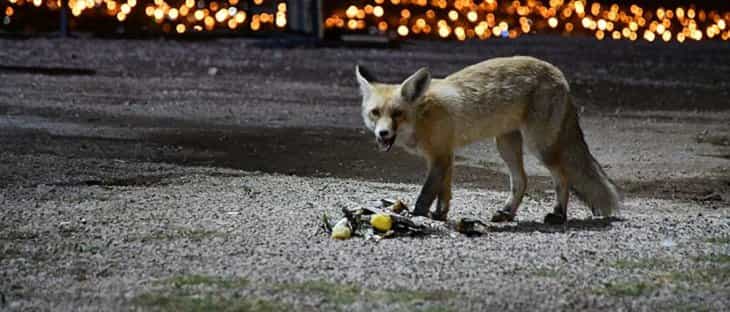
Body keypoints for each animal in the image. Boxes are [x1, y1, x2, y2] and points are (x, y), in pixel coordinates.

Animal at [356, 54, 616, 223]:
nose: (382, 133)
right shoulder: (445, 155)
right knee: (521, 180)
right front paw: (440, 215)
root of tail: (559, 74)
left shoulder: (440, 156)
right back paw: (507, 213)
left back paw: (558, 215)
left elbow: (427, 193)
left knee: (562, 177)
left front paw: (416, 215)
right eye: (375, 113)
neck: (423, 116)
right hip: (506, 144)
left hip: (539, 145)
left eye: (397, 114)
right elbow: (444, 192)